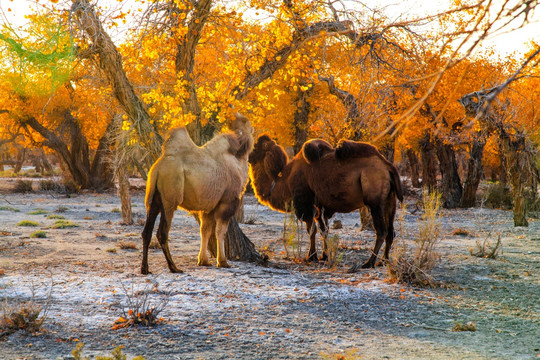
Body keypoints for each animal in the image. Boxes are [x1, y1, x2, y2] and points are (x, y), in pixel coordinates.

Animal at [141, 114, 255, 274]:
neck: (237, 160)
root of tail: (158, 168)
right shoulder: (226, 202)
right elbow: (220, 231)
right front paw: (223, 261)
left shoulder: (209, 206)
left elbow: (205, 230)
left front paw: (203, 261)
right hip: (169, 200)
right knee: (162, 232)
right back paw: (174, 267)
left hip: (153, 200)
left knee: (146, 231)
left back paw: (145, 269)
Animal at [248, 135, 400, 270]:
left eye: (255, 147)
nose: (248, 157)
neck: (285, 179)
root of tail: (388, 167)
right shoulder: (320, 206)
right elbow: (324, 230)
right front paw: (324, 255)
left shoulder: (306, 203)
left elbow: (311, 230)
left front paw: (311, 256)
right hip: (390, 201)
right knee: (391, 231)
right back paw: (383, 261)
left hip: (375, 202)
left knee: (381, 231)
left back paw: (369, 262)